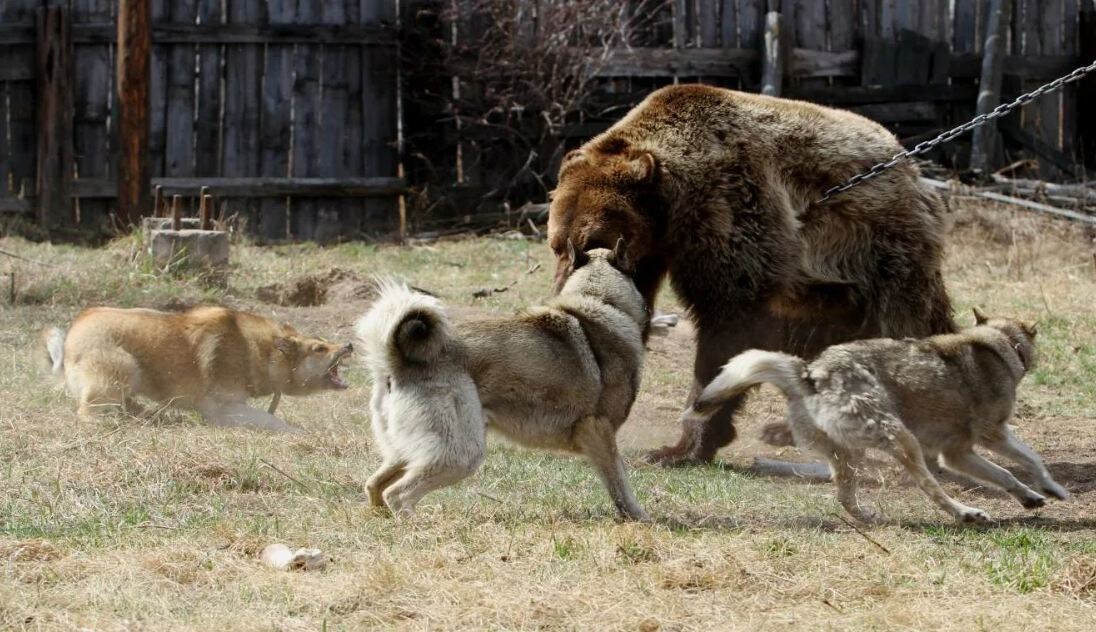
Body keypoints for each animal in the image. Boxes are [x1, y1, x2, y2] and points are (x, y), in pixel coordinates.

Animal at [547, 84, 956, 466]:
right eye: (556, 244)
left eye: (592, 240)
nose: (562, 289)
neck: (670, 212)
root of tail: (911, 167)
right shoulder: (651, 255)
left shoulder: (729, 217)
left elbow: (727, 329)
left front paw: (682, 447)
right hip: (826, 288)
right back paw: (788, 428)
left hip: (881, 250)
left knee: (903, 323)